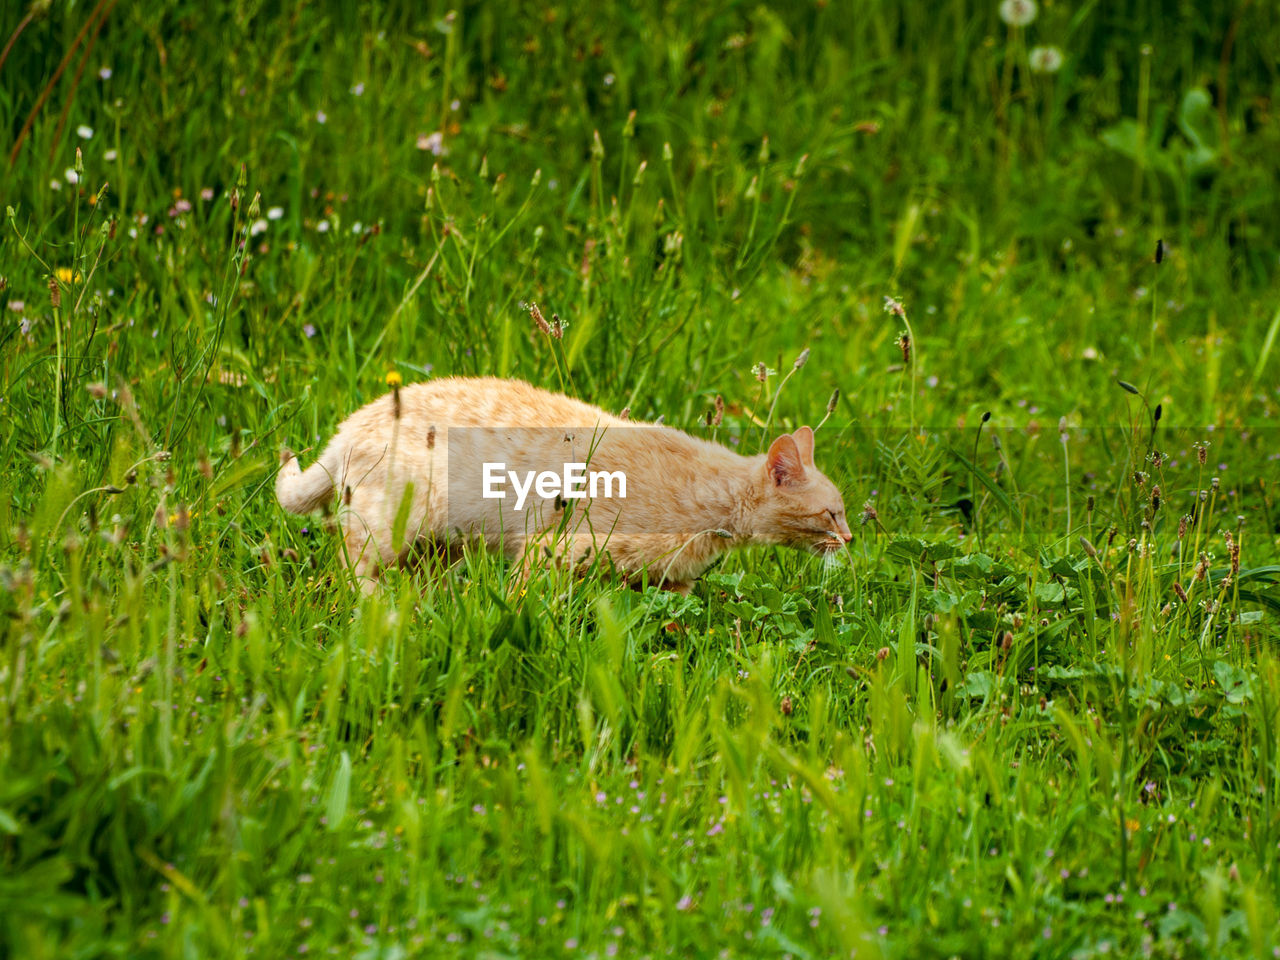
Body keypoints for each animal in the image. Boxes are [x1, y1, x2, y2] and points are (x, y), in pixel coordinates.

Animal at [273, 378, 849, 593]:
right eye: (831, 514)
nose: (850, 538)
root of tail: (351, 424)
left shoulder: (670, 581)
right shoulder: (554, 545)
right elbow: (523, 598)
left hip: (437, 543)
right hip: (397, 522)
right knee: (355, 563)